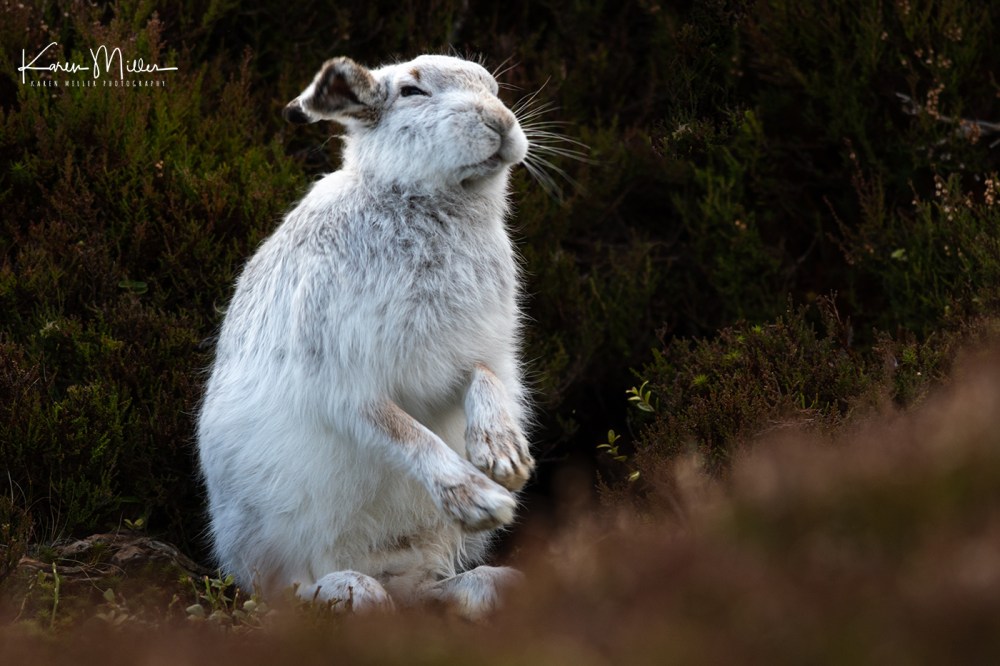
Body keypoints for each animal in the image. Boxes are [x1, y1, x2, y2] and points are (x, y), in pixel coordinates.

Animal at [196, 54, 537, 620]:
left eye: (492, 87)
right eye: (412, 92)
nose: (501, 123)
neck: (431, 202)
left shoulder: (480, 350)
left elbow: (484, 378)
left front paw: (503, 458)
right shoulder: (342, 376)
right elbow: (403, 431)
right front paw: (481, 499)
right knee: (296, 592)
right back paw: (348, 593)